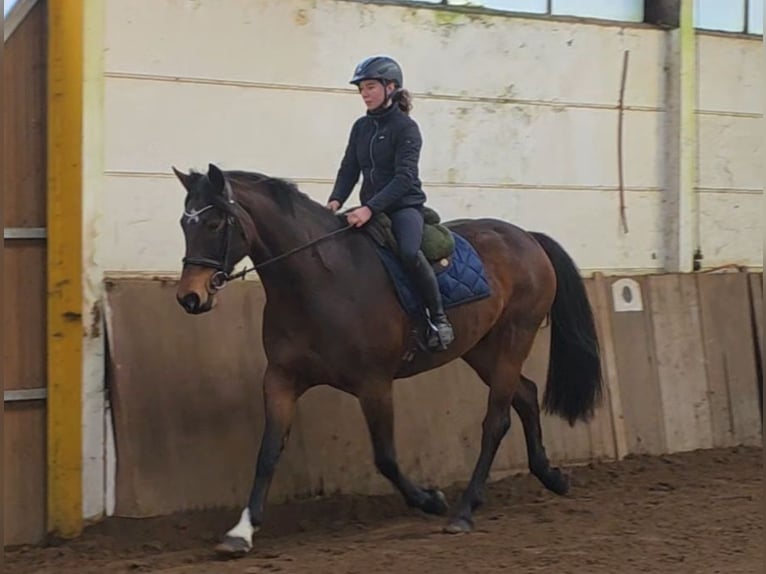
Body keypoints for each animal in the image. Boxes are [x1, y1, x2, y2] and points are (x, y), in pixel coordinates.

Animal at [172, 163, 603, 557]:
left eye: (214, 223)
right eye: (183, 223)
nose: (190, 297)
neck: (318, 281)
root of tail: (526, 237)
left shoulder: (373, 383)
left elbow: (386, 458)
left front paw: (431, 500)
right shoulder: (281, 378)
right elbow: (268, 452)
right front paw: (240, 532)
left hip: (515, 336)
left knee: (496, 421)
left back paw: (463, 511)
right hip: (481, 347)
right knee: (526, 395)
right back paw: (551, 478)